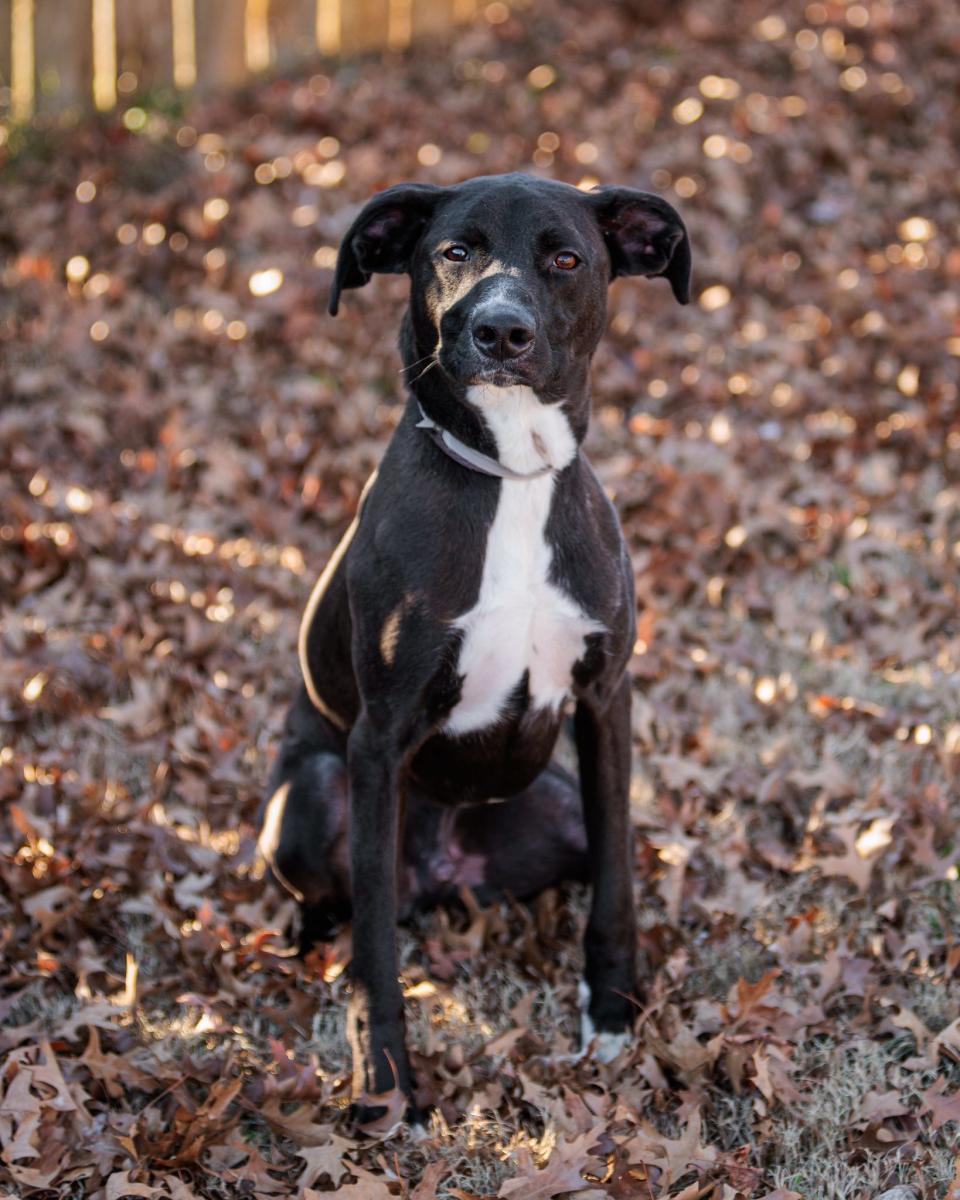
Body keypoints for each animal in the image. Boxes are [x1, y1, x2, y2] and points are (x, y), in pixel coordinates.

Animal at [259, 174, 686, 1118]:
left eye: (565, 257)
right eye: (455, 251)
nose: (500, 330)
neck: (512, 479)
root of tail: (442, 874)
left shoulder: (606, 700)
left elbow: (617, 883)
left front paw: (613, 1011)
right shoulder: (378, 740)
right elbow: (375, 955)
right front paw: (385, 1079)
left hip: (556, 802)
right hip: (310, 794)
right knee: (353, 902)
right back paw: (308, 933)